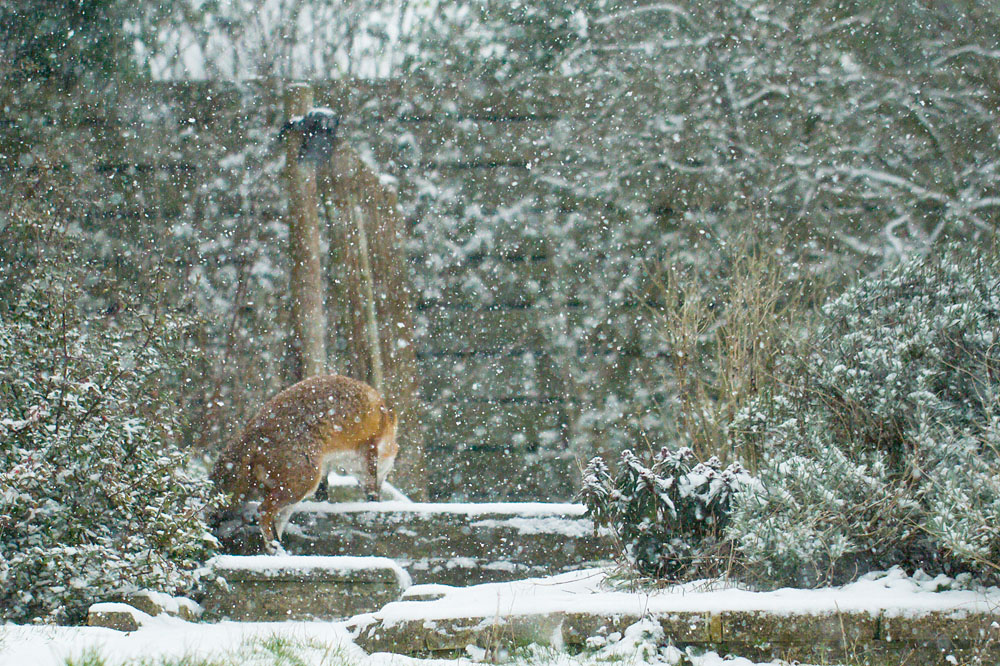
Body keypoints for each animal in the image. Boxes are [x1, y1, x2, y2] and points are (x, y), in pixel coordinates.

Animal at [211, 374, 399, 554]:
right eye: (387, 473)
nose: (382, 493)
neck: (382, 418)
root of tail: (252, 431)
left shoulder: (326, 462)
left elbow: (324, 490)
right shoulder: (368, 448)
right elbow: (369, 481)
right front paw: (374, 502)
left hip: (291, 489)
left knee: (275, 521)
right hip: (303, 483)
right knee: (263, 512)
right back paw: (275, 548)